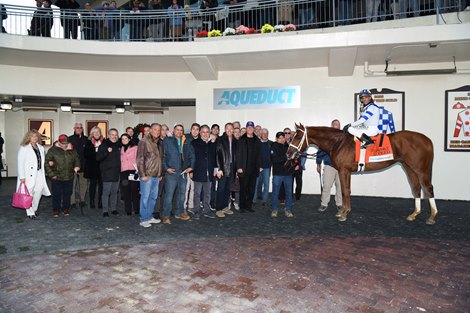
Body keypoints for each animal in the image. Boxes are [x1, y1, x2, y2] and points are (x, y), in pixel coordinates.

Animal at [288, 123, 438, 223]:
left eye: (298, 137)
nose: (288, 154)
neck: (338, 143)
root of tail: (427, 140)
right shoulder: (344, 172)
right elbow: (344, 190)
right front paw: (342, 211)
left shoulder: (344, 171)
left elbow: (345, 191)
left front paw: (344, 213)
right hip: (409, 168)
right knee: (416, 188)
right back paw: (414, 214)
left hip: (421, 169)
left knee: (428, 188)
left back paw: (432, 216)